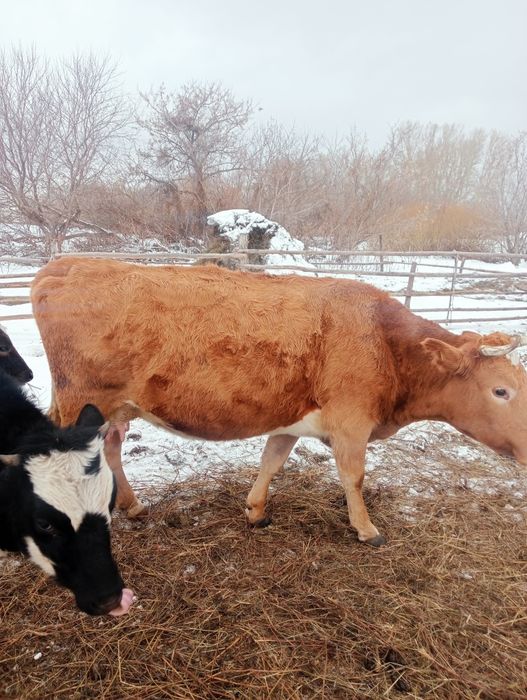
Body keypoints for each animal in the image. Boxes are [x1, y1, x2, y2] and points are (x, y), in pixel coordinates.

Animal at [31, 257, 527, 546]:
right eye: (501, 390)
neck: (384, 340)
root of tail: (66, 262)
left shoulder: (291, 422)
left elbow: (272, 462)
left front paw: (255, 511)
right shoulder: (351, 423)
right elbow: (354, 477)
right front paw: (367, 529)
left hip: (115, 407)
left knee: (110, 447)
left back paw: (132, 506)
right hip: (84, 399)